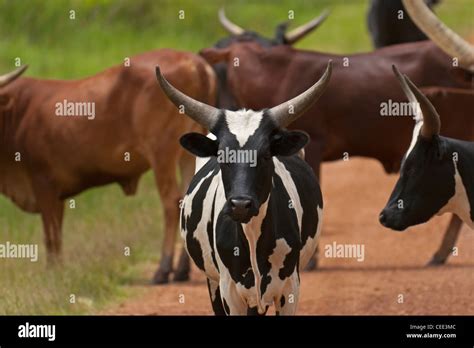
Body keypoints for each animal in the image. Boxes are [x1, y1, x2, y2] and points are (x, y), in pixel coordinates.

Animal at [0, 49, 215, 282]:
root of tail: (194, 62)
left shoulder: (45, 186)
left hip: (162, 152)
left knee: (171, 202)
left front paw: (53, 274)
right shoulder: (56, 197)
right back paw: (182, 270)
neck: (16, 113)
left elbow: (51, 238)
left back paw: (163, 269)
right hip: (188, 152)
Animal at [156, 61, 334, 314]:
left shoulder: (290, 288)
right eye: (222, 155)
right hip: (213, 283)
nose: (240, 205)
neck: (252, 234)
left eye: (266, 154)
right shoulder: (229, 292)